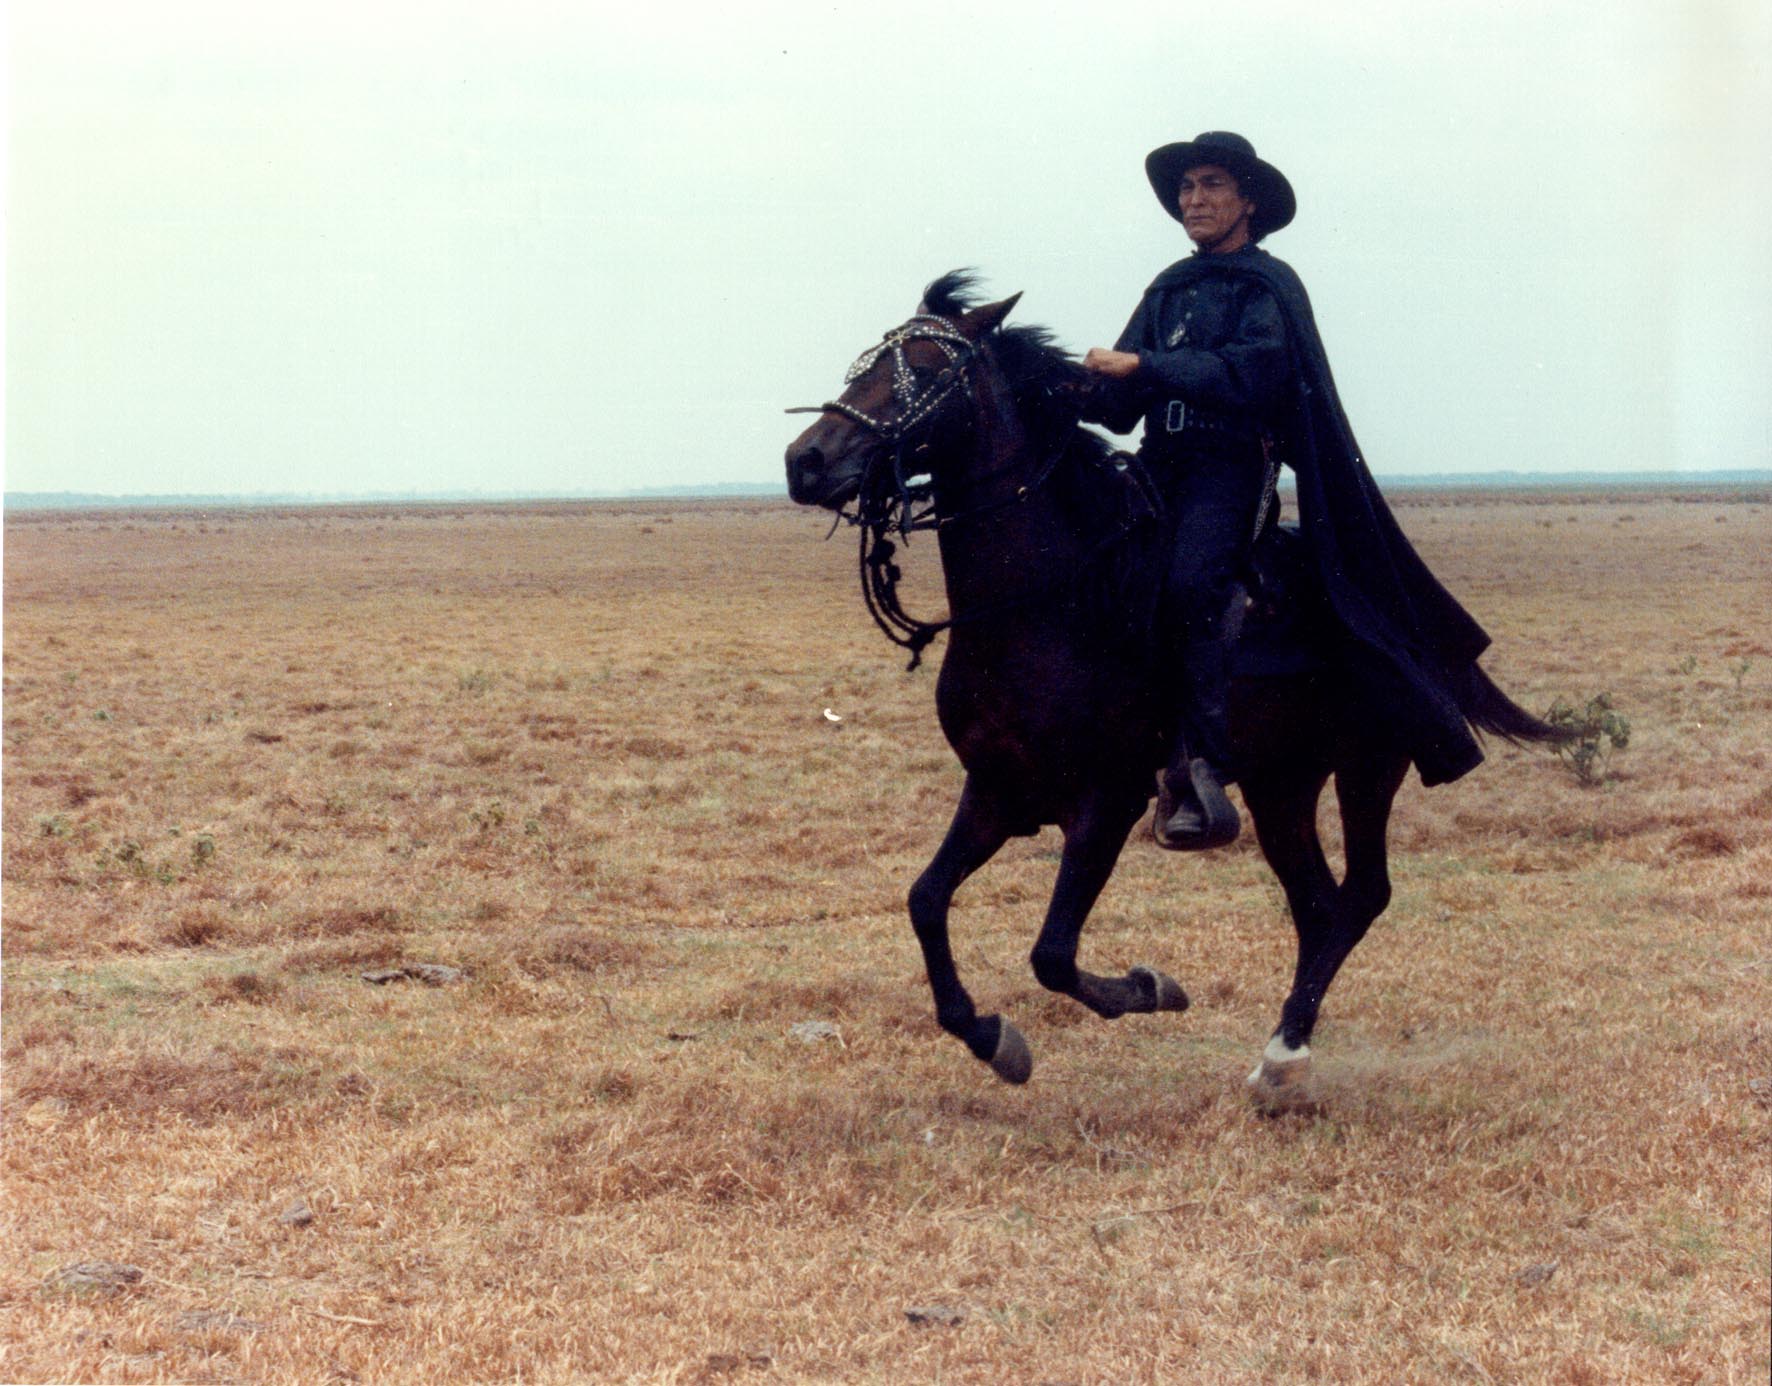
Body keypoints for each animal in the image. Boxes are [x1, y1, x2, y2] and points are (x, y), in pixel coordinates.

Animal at [783, 272, 1564, 1101]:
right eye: (868, 360)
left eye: (928, 368)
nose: (806, 460)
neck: (1051, 601)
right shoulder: (996, 788)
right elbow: (926, 902)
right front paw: (992, 1037)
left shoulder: (1107, 799)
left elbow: (1052, 953)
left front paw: (1150, 989)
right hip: (1281, 784)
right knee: (1318, 904)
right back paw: (1281, 1052)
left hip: (1367, 768)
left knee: (1360, 897)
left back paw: (1285, 1054)